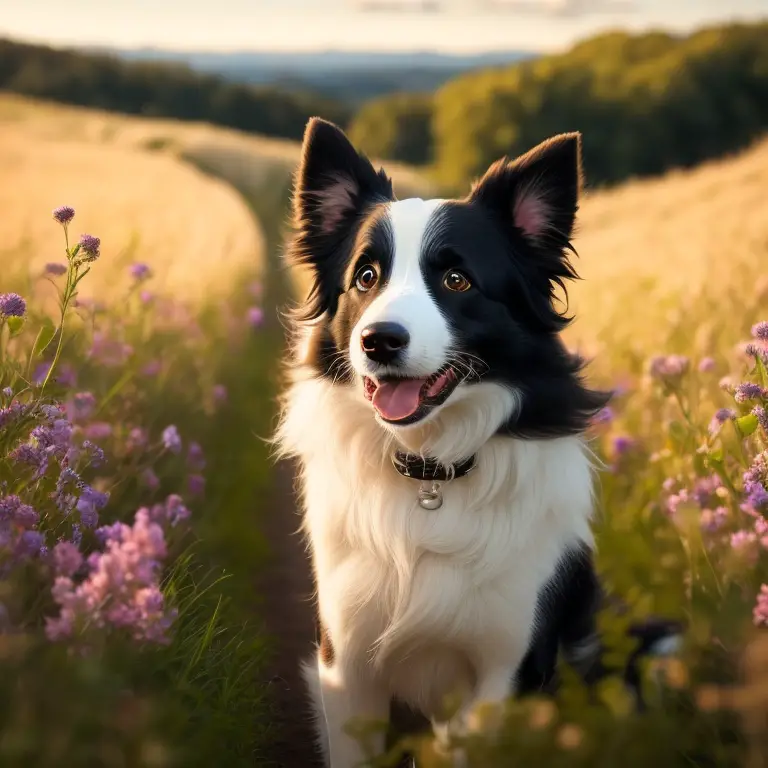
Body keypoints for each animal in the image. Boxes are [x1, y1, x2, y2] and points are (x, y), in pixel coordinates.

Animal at [276, 117, 680, 764]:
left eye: (457, 279)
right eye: (366, 277)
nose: (378, 341)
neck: (431, 473)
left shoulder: (505, 670)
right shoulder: (346, 666)